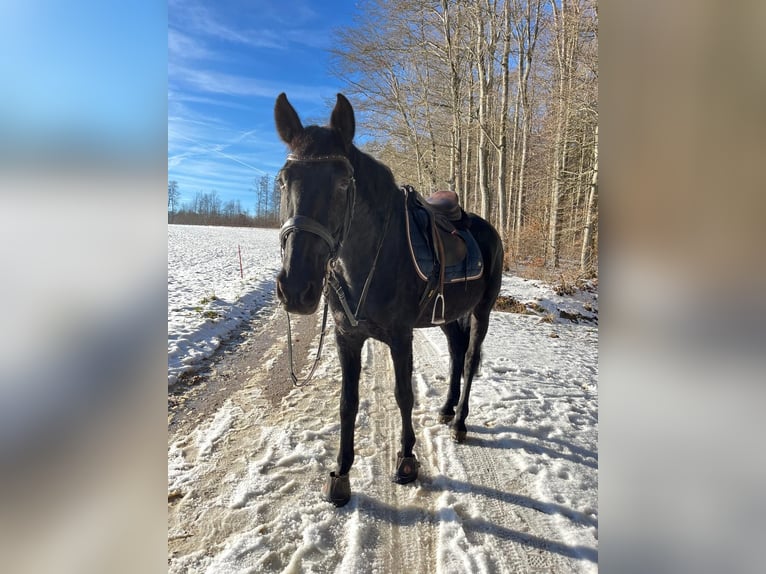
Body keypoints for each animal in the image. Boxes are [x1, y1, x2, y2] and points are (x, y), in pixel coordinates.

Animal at [274, 92, 504, 506]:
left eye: (343, 182)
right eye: (283, 180)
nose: (296, 288)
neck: (369, 261)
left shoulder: (400, 336)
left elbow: (403, 395)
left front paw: (407, 460)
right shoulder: (346, 337)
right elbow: (347, 403)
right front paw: (341, 473)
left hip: (483, 310)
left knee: (470, 357)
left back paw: (460, 422)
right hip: (448, 316)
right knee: (456, 353)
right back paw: (447, 410)